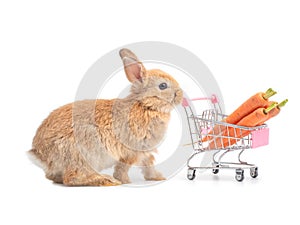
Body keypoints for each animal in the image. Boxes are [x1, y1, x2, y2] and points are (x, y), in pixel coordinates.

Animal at [28, 48, 183, 185]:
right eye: (163, 86)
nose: (180, 95)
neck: (144, 105)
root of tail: (39, 154)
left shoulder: (145, 151)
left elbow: (148, 164)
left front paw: (157, 177)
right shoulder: (131, 150)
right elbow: (124, 167)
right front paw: (124, 181)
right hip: (82, 152)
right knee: (72, 178)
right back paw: (107, 180)